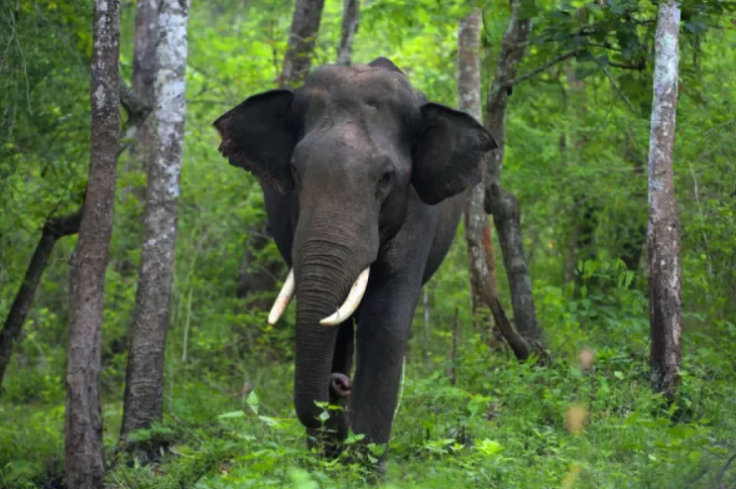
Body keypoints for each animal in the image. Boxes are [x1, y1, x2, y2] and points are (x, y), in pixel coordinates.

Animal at [213, 57, 495, 464]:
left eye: (387, 177)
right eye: (295, 170)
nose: (338, 385)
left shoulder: (417, 213)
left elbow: (386, 323)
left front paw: (363, 466)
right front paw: (328, 462)